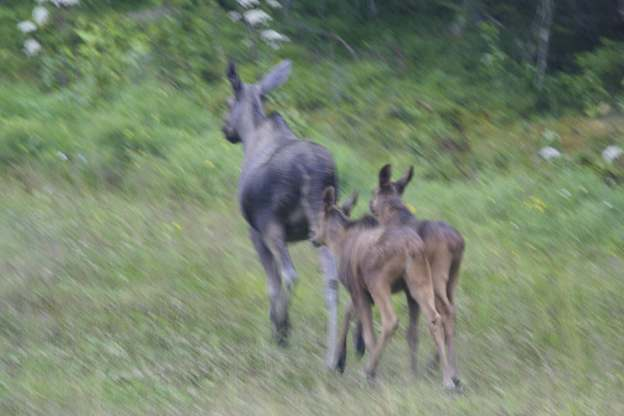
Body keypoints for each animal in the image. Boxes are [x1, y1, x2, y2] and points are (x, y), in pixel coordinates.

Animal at [222, 59, 342, 368]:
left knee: (290, 275)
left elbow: (272, 283)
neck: (252, 135)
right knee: (332, 279)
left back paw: (283, 330)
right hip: (323, 224)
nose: (225, 129)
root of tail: (314, 172)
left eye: (228, 102)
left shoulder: (255, 230)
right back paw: (333, 357)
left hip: (271, 225)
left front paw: (277, 328)